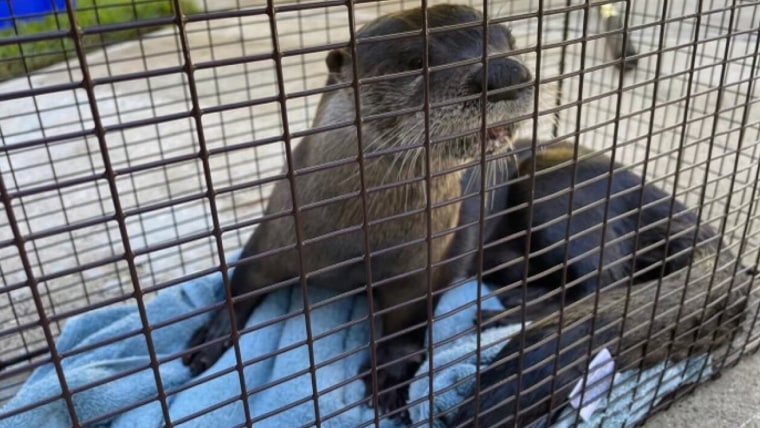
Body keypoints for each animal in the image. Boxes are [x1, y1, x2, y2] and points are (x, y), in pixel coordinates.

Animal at [184, 3, 536, 414]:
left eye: (510, 44)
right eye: (414, 62)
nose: (507, 72)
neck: (354, 242)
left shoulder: (420, 267)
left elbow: (407, 324)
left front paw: (390, 375)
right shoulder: (275, 233)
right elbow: (241, 281)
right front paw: (210, 337)